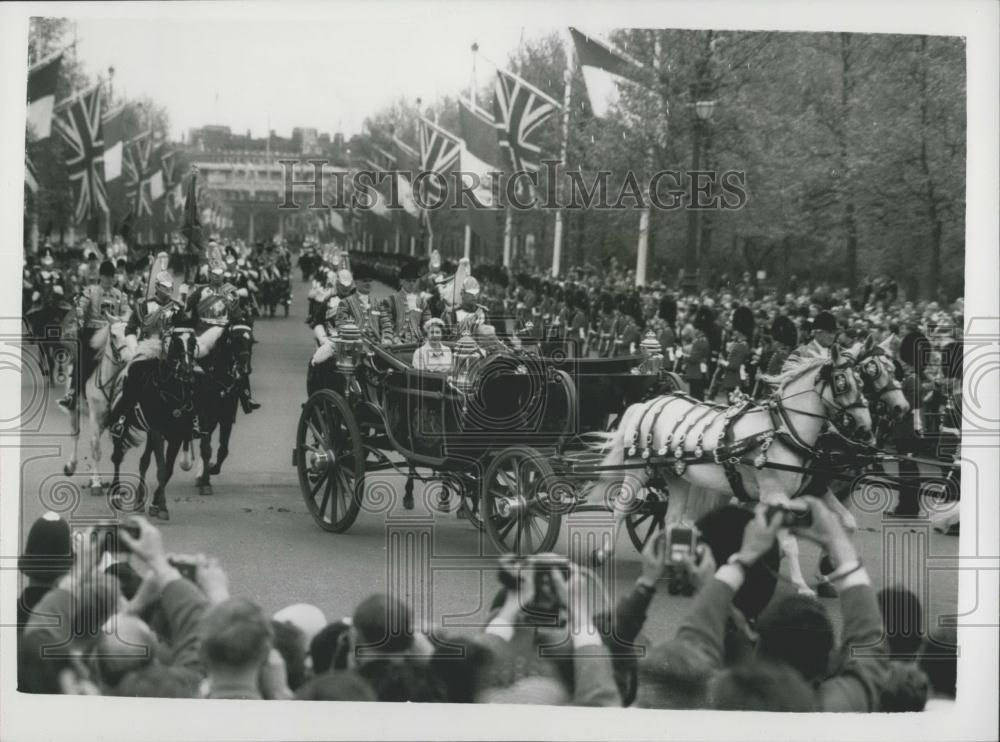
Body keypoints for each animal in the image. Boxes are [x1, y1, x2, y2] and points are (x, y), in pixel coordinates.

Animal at [109, 328, 201, 520]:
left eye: (193, 342)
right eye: (176, 343)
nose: (186, 371)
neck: (170, 391)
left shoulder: (176, 436)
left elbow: (167, 469)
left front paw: (155, 505)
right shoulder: (158, 431)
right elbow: (161, 468)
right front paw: (163, 507)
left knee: (143, 461)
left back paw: (139, 500)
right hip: (120, 426)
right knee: (117, 457)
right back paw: (116, 495)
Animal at [192, 324, 254, 494]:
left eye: (251, 341)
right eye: (235, 340)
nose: (245, 369)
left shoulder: (225, 417)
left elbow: (223, 449)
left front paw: (210, 470)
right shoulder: (205, 416)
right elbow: (206, 449)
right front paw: (206, 483)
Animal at [588, 346, 872, 596]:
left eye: (862, 381)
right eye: (842, 382)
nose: (866, 429)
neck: (783, 430)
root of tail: (649, 402)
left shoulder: (808, 490)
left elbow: (845, 524)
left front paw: (825, 572)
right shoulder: (775, 497)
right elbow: (790, 544)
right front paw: (802, 585)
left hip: (676, 476)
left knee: (669, 518)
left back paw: (673, 562)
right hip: (639, 470)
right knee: (622, 508)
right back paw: (603, 553)